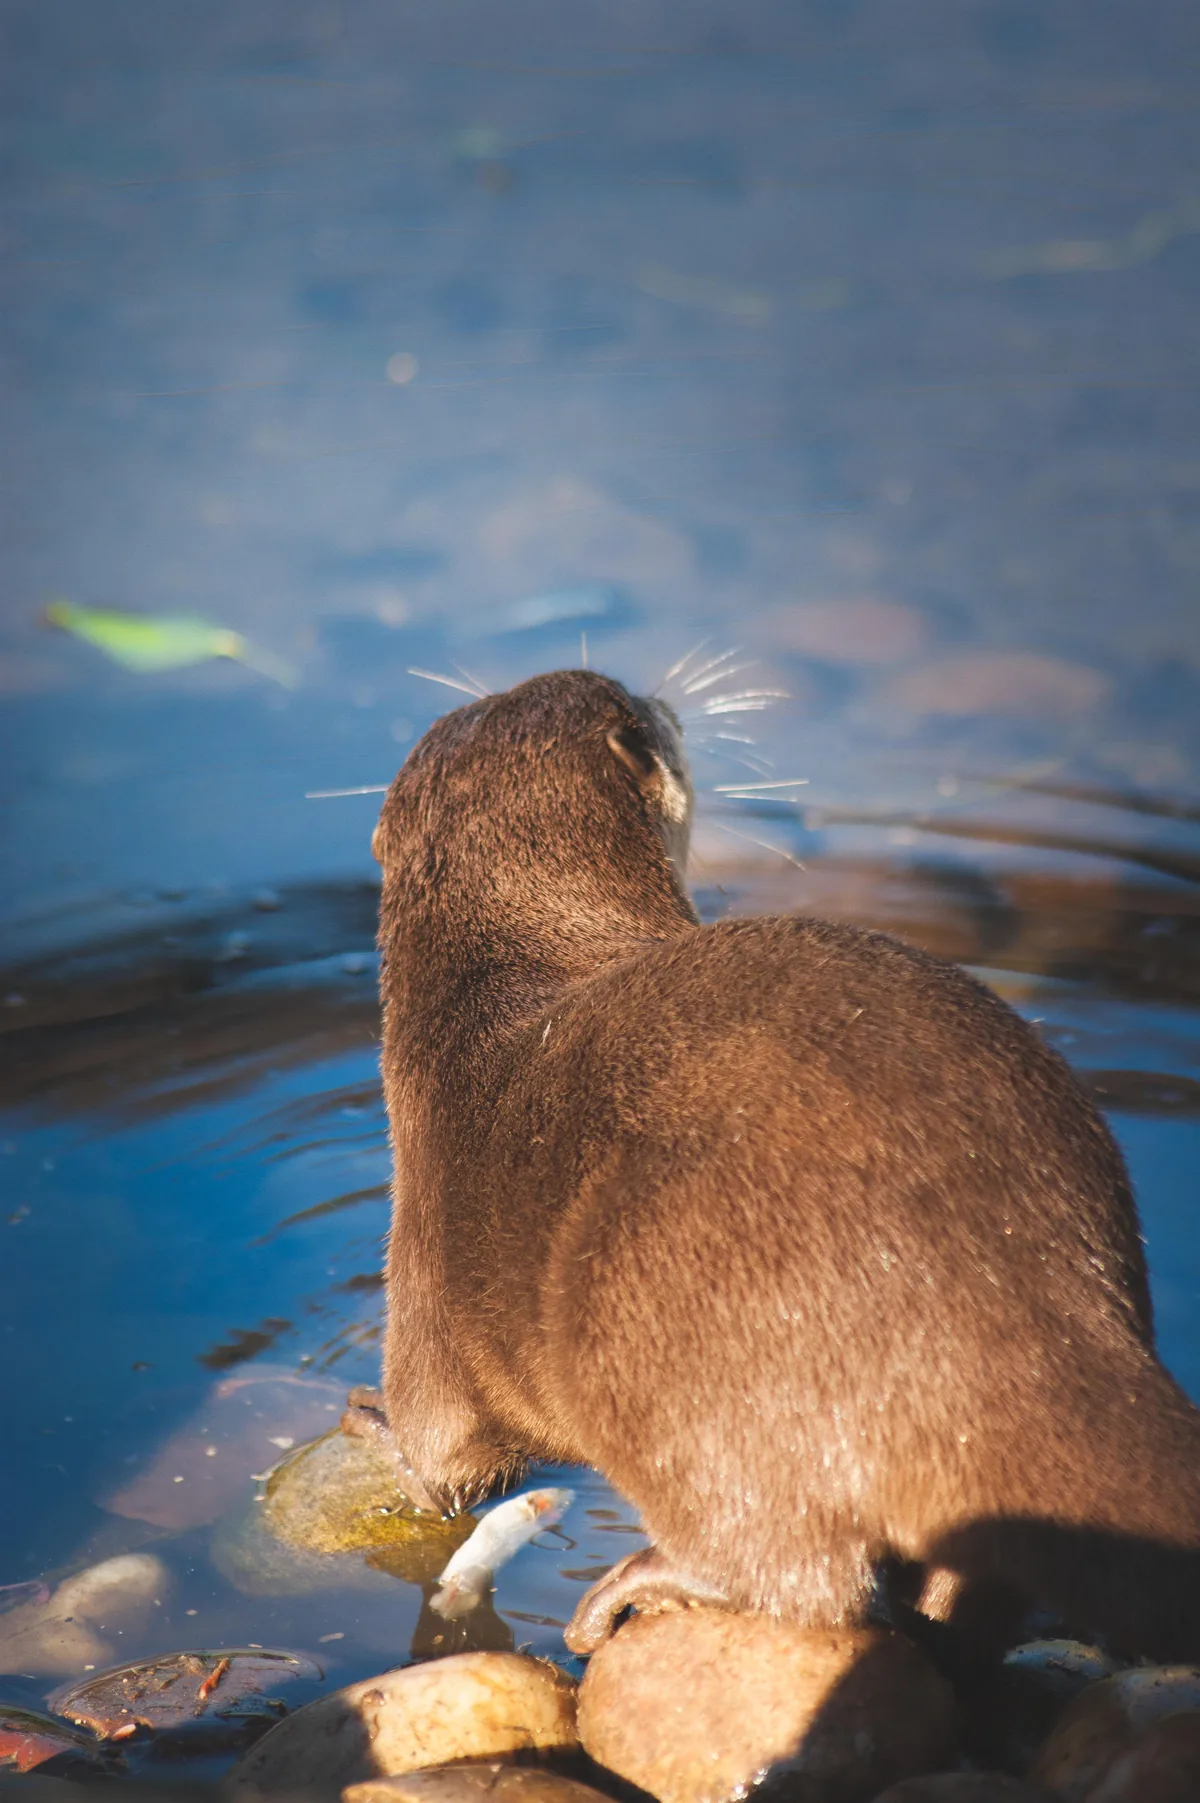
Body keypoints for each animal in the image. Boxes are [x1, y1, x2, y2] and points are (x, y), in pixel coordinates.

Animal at [348, 667, 1200, 1662]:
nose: (665, 697)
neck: (500, 978)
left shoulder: (419, 1246)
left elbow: (442, 1457)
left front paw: (372, 1420)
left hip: (643, 1311)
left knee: (799, 1574)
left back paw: (641, 1586)